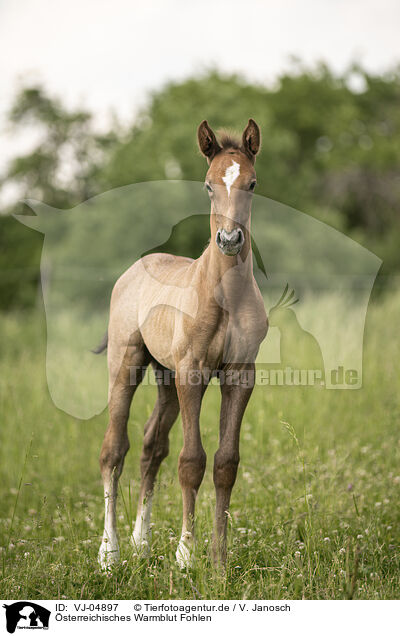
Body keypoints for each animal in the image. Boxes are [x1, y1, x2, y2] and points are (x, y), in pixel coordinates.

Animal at [98, 117, 268, 568]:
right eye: (209, 185)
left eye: (252, 183)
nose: (229, 239)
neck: (224, 296)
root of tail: (136, 268)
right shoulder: (192, 373)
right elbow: (192, 461)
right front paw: (186, 555)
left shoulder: (239, 376)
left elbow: (226, 463)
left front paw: (219, 560)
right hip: (127, 364)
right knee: (114, 450)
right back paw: (109, 553)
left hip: (165, 378)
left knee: (150, 446)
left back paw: (141, 543)